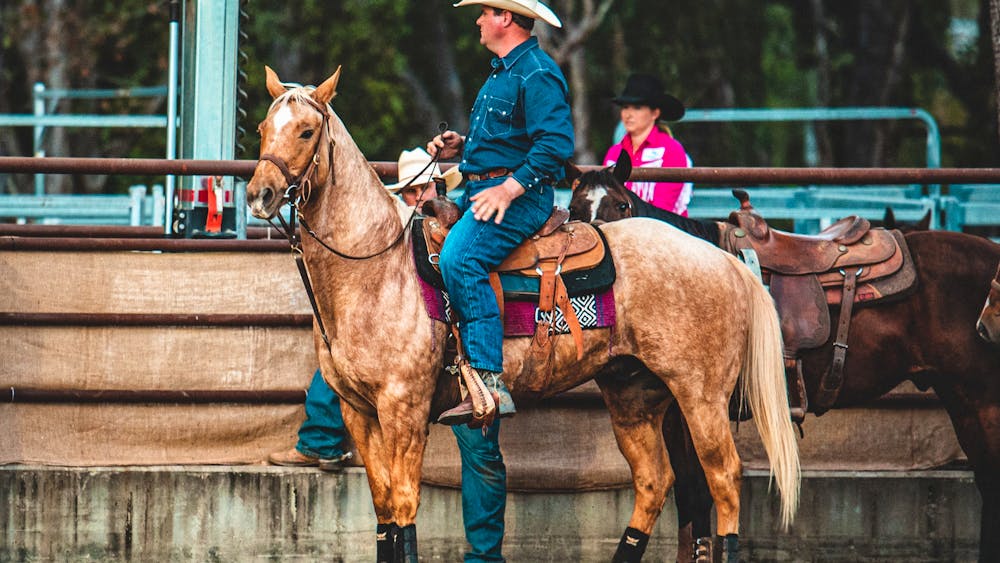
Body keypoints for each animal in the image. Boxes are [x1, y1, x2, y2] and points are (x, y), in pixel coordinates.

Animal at [246, 67, 800, 563]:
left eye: (306, 130)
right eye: (262, 129)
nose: (259, 195)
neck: (376, 268)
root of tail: (726, 261)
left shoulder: (403, 408)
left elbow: (403, 510)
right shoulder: (357, 411)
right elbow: (385, 515)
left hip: (700, 396)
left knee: (723, 479)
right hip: (634, 393)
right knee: (653, 482)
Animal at [572, 155, 1000, 563]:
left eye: (622, 205)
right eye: (574, 209)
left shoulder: (692, 407)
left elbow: (697, 497)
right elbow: (690, 501)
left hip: (982, 402)